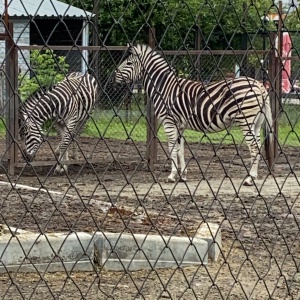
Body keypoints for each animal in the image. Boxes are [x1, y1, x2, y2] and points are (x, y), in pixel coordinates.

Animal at [113, 43, 274, 186]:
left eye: (128, 63)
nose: (113, 76)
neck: (164, 87)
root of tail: (259, 85)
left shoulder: (168, 121)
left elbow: (172, 148)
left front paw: (171, 176)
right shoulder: (180, 125)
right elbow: (181, 149)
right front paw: (182, 175)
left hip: (245, 120)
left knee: (253, 147)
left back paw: (249, 179)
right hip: (256, 123)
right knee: (258, 145)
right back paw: (253, 176)